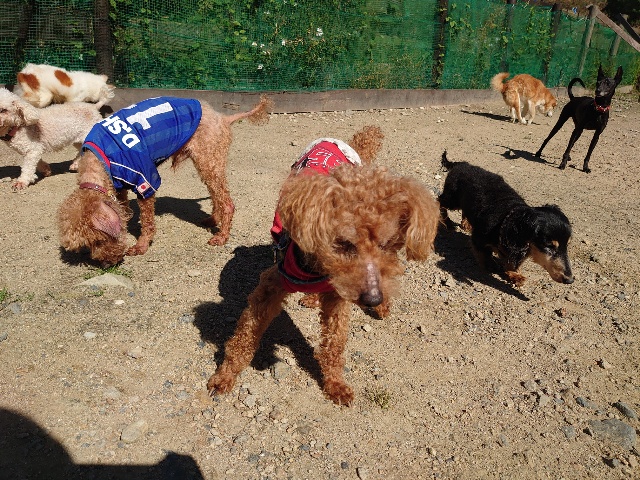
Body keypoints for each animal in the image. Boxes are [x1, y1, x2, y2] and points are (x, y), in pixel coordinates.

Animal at [57, 95, 272, 267]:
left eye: (100, 240)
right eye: (88, 245)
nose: (107, 264)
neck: (100, 159)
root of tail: (223, 118)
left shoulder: (144, 180)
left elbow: (147, 221)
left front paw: (141, 246)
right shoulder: (119, 186)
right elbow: (125, 210)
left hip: (209, 161)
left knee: (227, 202)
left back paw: (221, 236)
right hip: (208, 164)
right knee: (217, 195)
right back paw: (211, 220)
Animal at [207, 126, 440, 406]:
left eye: (388, 245)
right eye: (344, 243)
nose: (373, 299)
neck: (321, 268)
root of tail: (337, 141)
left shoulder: (338, 297)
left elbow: (334, 344)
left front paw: (336, 384)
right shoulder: (272, 285)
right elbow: (244, 337)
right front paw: (225, 375)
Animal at [438, 151, 573, 287]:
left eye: (567, 245)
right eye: (549, 245)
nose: (570, 280)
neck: (507, 220)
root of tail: (462, 164)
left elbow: (511, 263)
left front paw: (514, 274)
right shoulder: (478, 238)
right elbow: (484, 253)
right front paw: (491, 265)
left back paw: (466, 223)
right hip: (452, 199)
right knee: (440, 202)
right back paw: (447, 222)